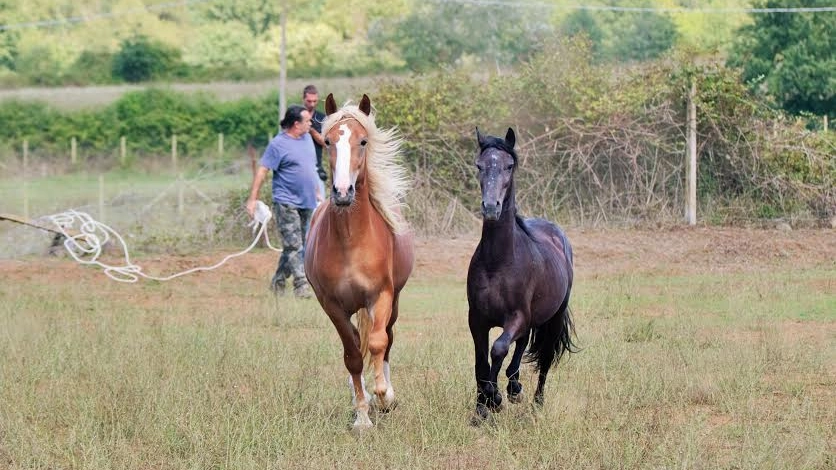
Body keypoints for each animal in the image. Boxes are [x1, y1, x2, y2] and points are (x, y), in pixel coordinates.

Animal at [304, 92, 414, 430]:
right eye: (327, 141)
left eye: (363, 141)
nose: (342, 193)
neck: (351, 242)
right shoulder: (331, 305)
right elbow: (352, 355)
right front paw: (362, 416)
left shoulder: (382, 295)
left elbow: (378, 344)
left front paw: (385, 397)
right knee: (356, 342)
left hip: (393, 302)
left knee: (387, 338)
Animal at [466, 126, 580, 422]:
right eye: (479, 165)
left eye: (509, 166)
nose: (490, 207)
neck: (498, 262)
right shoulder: (477, 320)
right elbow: (481, 362)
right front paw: (481, 407)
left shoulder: (516, 316)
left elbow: (498, 349)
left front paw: (493, 399)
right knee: (521, 345)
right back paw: (514, 386)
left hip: (553, 319)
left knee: (544, 358)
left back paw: (535, 402)